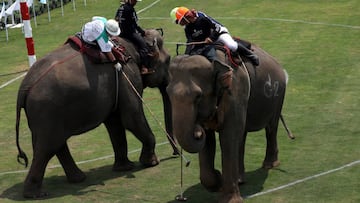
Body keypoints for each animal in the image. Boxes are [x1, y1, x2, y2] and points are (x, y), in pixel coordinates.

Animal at [16, 29, 174, 198]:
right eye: (169, 60)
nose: (175, 154)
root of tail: (24, 87)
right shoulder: (127, 72)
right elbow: (131, 117)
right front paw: (151, 163)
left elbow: (114, 123)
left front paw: (125, 168)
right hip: (47, 111)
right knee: (46, 148)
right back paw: (35, 194)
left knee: (56, 145)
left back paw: (78, 179)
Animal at [167, 43, 290, 203]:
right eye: (168, 93)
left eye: (198, 96)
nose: (197, 131)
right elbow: (209, 142)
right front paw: (218, 182)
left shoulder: (235, 91)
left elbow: (228, 137)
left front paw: (229, 198)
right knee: (242, 135)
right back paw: (240, 180)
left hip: (278, 94)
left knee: (270, 128)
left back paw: (269, 165)